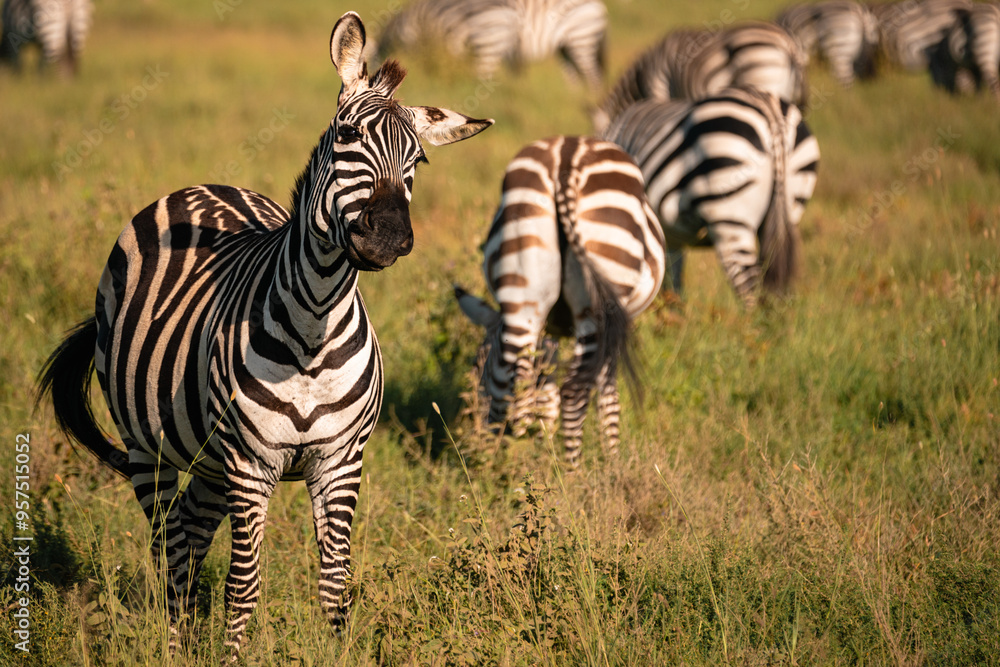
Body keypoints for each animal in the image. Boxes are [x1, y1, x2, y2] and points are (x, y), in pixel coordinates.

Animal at [36, 12, 491, 657]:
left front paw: (335, 653)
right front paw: (231, 657)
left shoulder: (339, 462)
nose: (389, 236)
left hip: (205, 458)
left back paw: (187, 639)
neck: (314, 328)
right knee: (169, 547)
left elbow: (334, 583)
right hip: (148, 447)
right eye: (347, 136)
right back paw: (175, 645)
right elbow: (244, 584)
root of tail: (201, 186)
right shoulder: (250, 465)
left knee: (191, 537)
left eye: (419, 163)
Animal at [455, 135, 665, 466]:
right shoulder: (613, 324)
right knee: (574, 390)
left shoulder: (547, 331)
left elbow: (545, 390)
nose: (475, 426)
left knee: (512, 386)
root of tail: (566, 158)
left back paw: (506, 467)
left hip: (523, 292)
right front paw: (613, 461)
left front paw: (543, 447)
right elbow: (606, 391)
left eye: (478, 372)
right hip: (597, 301)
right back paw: (572, 472)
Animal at [601, 88, 820, 308]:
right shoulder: (669, 238)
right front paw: (673, 311)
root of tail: (769, 108)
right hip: (788, 210)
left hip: (730, 216)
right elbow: (673, 278)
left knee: (749, 286)